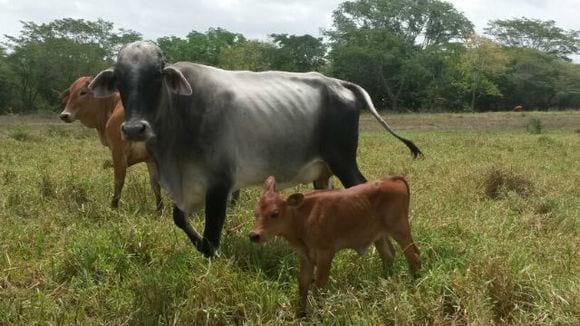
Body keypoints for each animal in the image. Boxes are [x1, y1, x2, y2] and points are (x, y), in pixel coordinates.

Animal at [60, 75, 163, 210]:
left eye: (83, 92)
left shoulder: (118, 151)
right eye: (70, 92)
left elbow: (118, 182)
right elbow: (156, 186)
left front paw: (113, 208)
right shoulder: (150, 159)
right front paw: (159, 210)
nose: (64, 115)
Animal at [88, 41, 420, 258]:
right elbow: (179, 218)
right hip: (322, 172)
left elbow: (211, 235)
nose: (134, 129)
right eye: (119, 79)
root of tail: (340, 83)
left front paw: (212, 257)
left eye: (157, 75)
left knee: (362, 189)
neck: (180, 114)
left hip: (343, 160)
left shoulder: (220, 184)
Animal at [249, 176, 422, 316]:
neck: (302, 219)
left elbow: (319, 285)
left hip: (400, 229)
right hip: (379, 235)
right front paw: (300, 315)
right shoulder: (305, 256)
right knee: (388, 255)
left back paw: (415, 285)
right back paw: (385, 284)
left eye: (275, 213)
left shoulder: (325, 252)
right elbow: (303, 284)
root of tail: (392, 178)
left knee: (413, 256)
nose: (254, 235)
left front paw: (319, 314)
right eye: (255, 212)